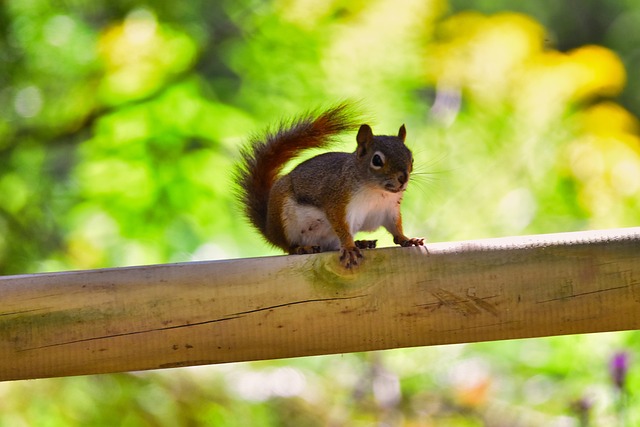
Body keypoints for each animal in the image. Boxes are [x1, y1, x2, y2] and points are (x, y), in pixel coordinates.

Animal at [236, 103, 424, 268]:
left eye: (411, 158)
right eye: (377, 160)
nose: (403, 178)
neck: (376, 192)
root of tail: (269, 230)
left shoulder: (388, 209)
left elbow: (395, 227)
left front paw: (407, 239)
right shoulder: (337, 200)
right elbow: (341, 227)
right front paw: (349, 248)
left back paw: (361, 242)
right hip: (283, 216)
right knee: (289, 247)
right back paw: (303, 248)